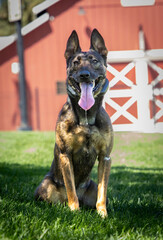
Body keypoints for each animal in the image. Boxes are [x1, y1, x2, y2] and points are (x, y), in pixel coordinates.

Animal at [34, 28, 113, 218]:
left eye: (94, 61)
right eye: (76, 62)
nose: (84, 74)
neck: (86, 118)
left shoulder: (105, 157)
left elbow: (103, 191)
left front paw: (103, 214)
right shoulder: (65, 154)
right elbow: (71, 188)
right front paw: (74, 211)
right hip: (45, 186)